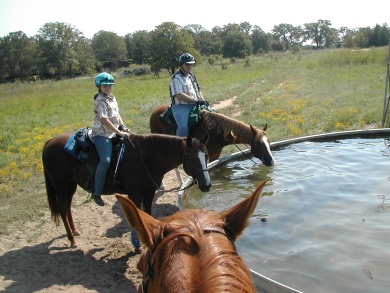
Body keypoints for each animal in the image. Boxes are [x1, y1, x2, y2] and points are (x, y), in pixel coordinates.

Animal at [41, 132, 212, 246]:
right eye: (192, 158)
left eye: (207, 155)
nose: (207, 184)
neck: (147, 158)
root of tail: (49, 142)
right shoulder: (135, 194)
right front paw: (137, 243)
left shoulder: (149, 193)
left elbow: (147, 214)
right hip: (60, 185)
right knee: (62, 209)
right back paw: (72, 240)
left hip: (71, 185)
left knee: (68, 207)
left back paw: (75, 231)